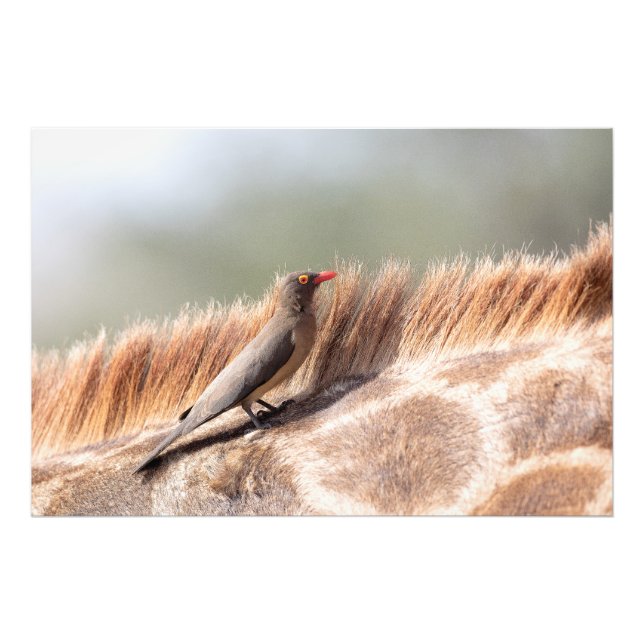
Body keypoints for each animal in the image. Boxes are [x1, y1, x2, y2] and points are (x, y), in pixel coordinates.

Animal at [31, 221, 612, 515]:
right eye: (308, 279)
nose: (328, 272)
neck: (295, 318)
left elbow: (269, 398)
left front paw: (283, 404)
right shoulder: (269, 366)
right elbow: (255, 404)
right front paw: (269, 418)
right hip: (228, 392)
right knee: (239, 402)